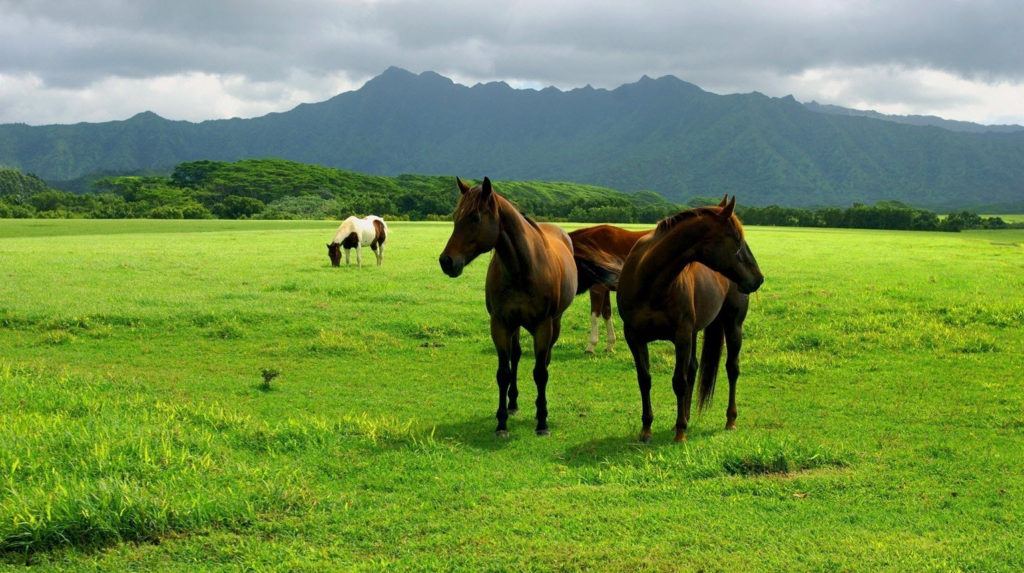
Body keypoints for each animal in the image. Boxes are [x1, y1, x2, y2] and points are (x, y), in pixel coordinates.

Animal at [439, 177, 589, 437]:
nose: (446, 261)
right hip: (516, 325)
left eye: (475, 217)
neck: (522, 268)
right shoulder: (500, 324)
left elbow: (540, 373)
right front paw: (501, 422)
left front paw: (542, 421)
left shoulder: (543, 326)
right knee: (516, 357)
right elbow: (504, 373)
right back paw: (513, 403)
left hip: (555, 323)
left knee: (545, 361)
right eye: (456, 216)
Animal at [569, 224, 650, 353]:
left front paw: (591, 346)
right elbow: (607, 313)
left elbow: (594, 316)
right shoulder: (605, 289)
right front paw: (610, 345)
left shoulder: (597, 289)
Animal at [617, 196, 764, 443]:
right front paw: (646, 429)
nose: (758, 278)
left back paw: (729, 419)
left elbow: (679, 381)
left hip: (733, 326)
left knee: (731, 369)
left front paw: (680, 432)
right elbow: (644, 379)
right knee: (694, 368)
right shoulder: (634, 336)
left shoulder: (682, 335)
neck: (649, 280)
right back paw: (685, 416)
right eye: (736, 239)